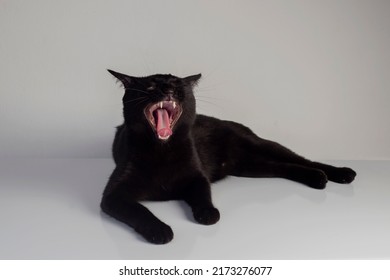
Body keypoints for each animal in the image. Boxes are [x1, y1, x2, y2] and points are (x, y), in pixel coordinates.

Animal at [100, 69, 356, 243]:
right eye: (151, 87)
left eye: (179, 85)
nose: (169, 90)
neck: (162, 151)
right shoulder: (113, 194)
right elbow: (139, 210)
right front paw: (160, 230)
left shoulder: (197, 177)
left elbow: (203, 195)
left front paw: (208, 214)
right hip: (253, 168)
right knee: (283, 167)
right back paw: (317, 179)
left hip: (262, 145)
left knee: (300, 159)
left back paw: (339, 174)